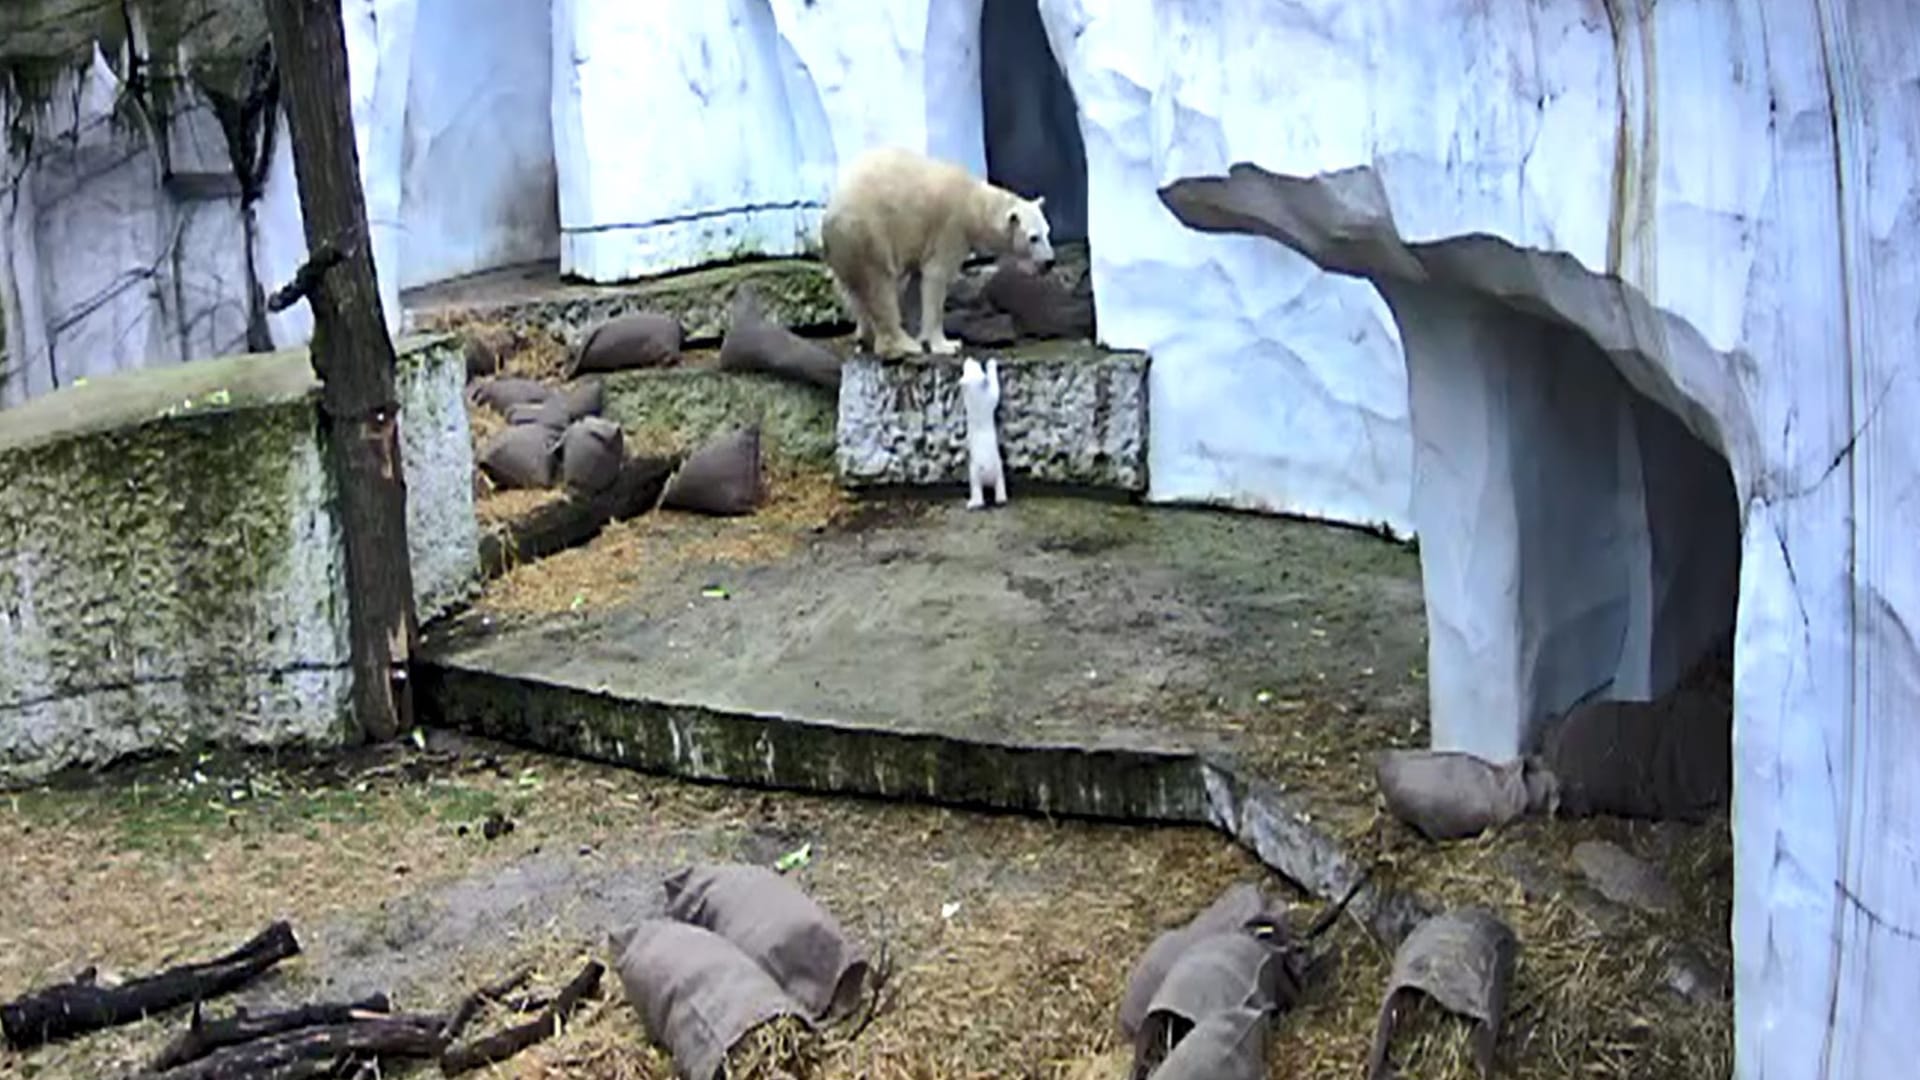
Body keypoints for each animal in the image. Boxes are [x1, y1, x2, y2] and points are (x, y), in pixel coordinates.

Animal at [810, 144, 1052, 357]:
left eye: (1047, 232)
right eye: (1034, 238)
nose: (1049, 262)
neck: (974, 202)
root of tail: (829, 217)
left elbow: (917, 282)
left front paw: (921, 333)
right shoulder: (951, 229)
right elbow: (936, 276)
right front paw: (946, 344)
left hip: (844, 250)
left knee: (852, 291)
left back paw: (865, 337)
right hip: (868, 234)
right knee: (879, 286)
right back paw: (903, 344)